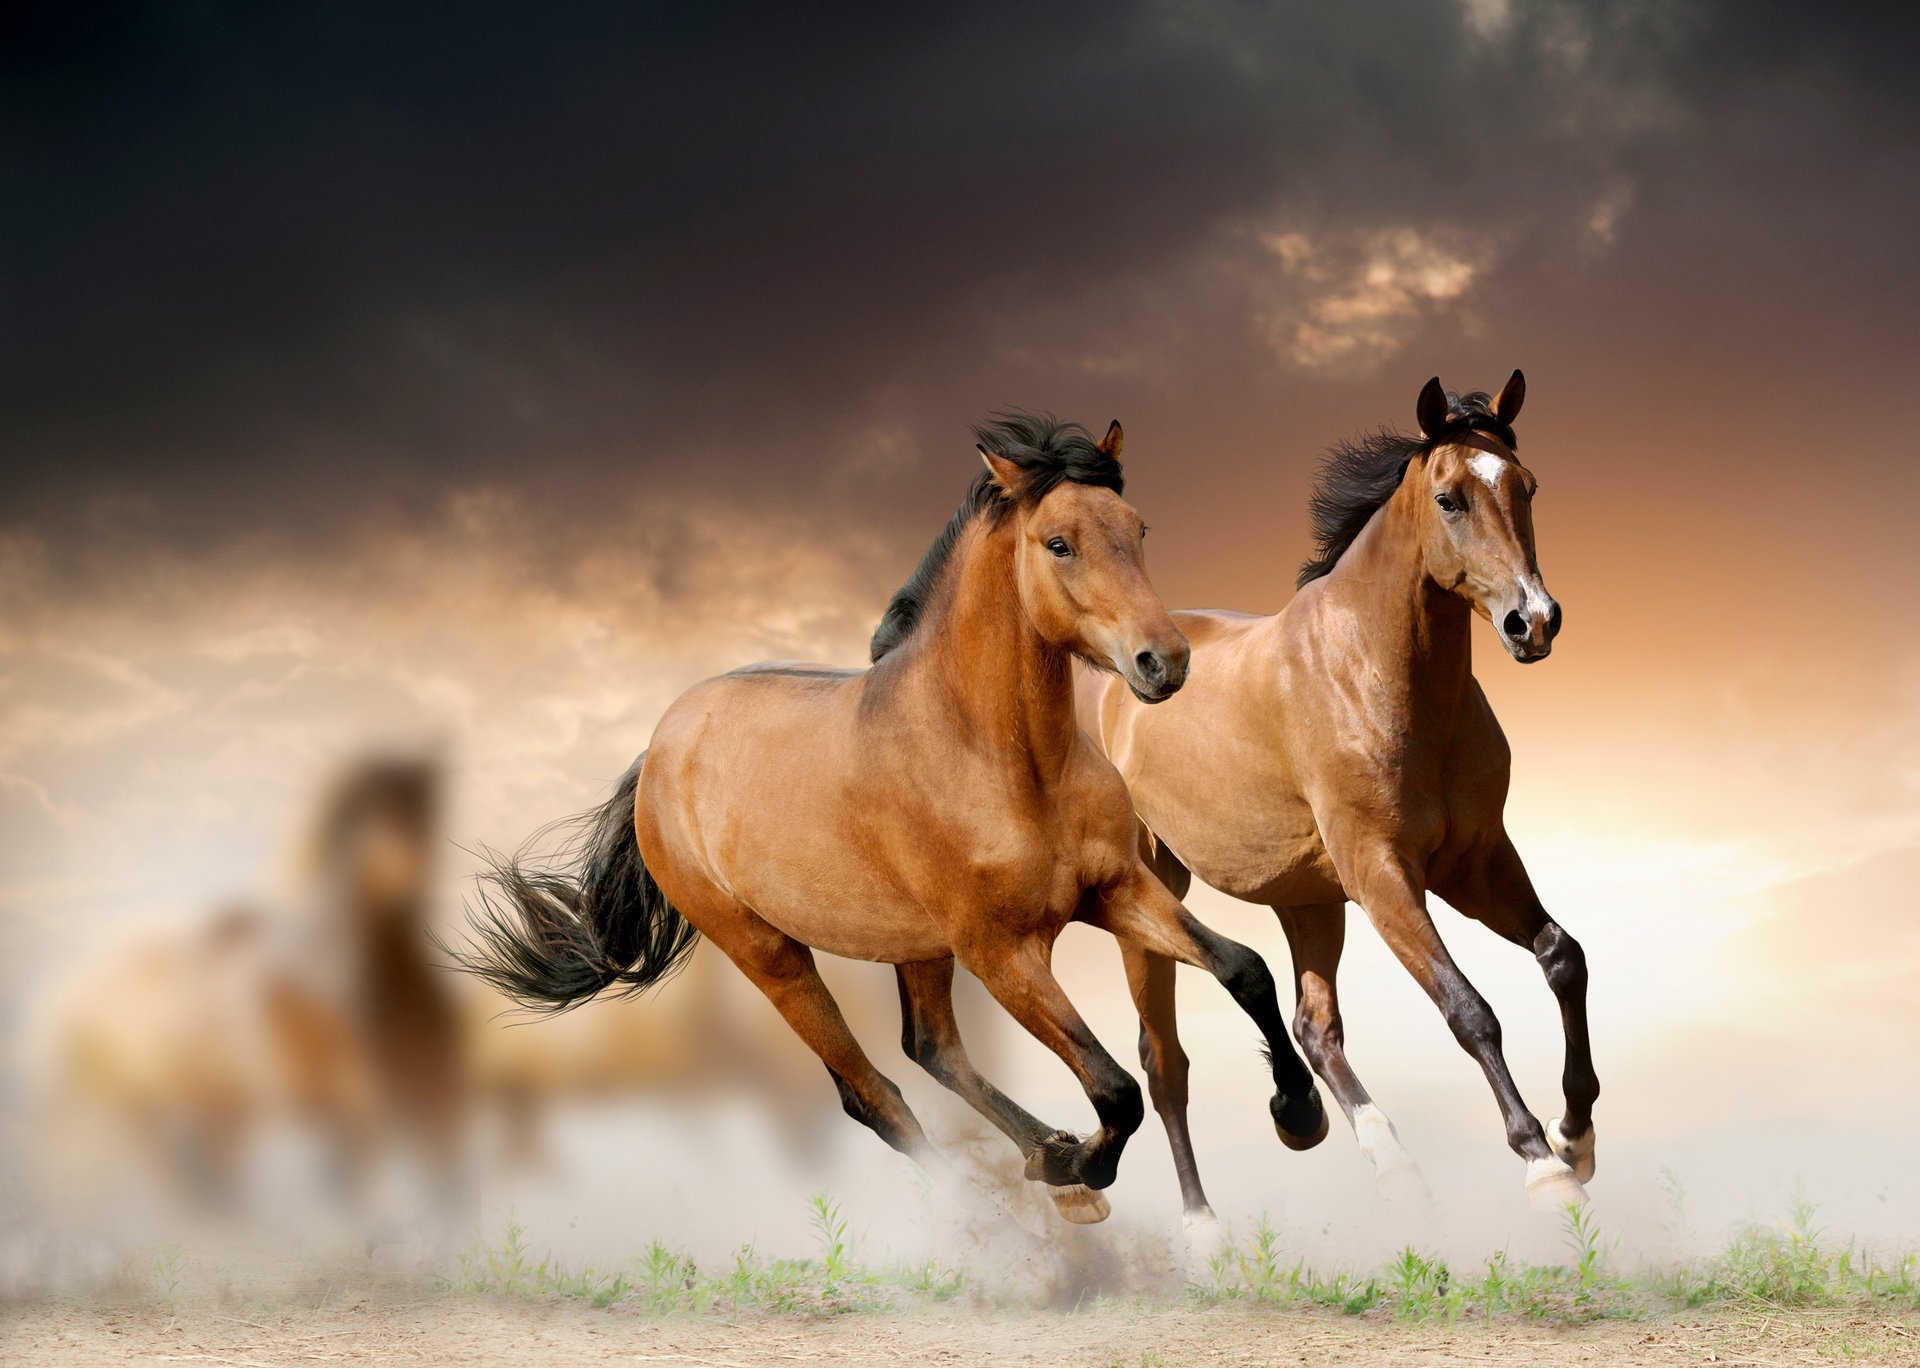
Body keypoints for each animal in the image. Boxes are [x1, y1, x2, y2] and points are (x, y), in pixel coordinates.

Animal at [451, 415, 1328, 1221]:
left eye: (1137, 528)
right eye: (1059, 543)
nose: (1164, 662)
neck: (1003, 759)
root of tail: (660, 752)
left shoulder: (1114, 889)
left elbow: (1244, 968)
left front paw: (1299, 1116)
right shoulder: (1002, 952)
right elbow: (1114, 1089)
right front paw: (1085, 1166)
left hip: (916, 946)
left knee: (930, 1049)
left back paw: (1046, 1157)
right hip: (771, 953)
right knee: (872, 1094)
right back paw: (1012, 1208)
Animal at [1090, 368, 1597, 1221]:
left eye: (1526, 486)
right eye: (1451, 497)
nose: (1534, 622)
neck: (1379, 677)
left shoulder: (1476, 862)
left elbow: (1563, 957)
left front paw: (1577, 1133)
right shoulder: (1384, 874)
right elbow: (1468, 1009)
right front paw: (1541, 1162)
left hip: (1307, 900)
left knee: (1313, 1027)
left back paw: (1379, 1157)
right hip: (1153, 896)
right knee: (1165, 1064)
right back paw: (1203, 1227)